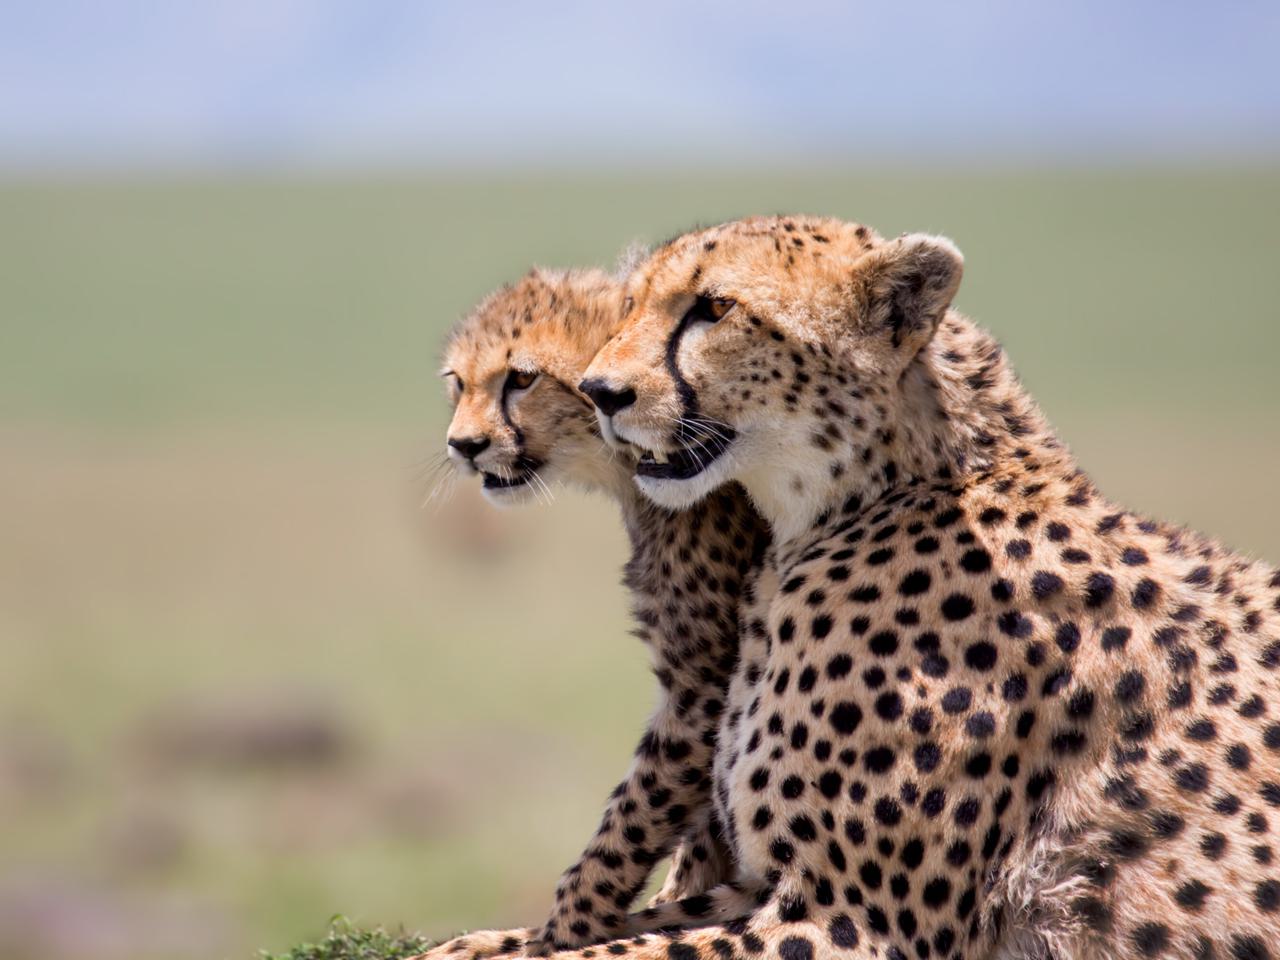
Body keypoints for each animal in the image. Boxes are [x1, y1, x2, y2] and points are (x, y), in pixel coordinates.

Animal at [420, 266, 771, 958]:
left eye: (521, 378)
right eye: (458, 382)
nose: (463, 446)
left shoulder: (705, 685)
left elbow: (630, 825)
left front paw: (560, 934)